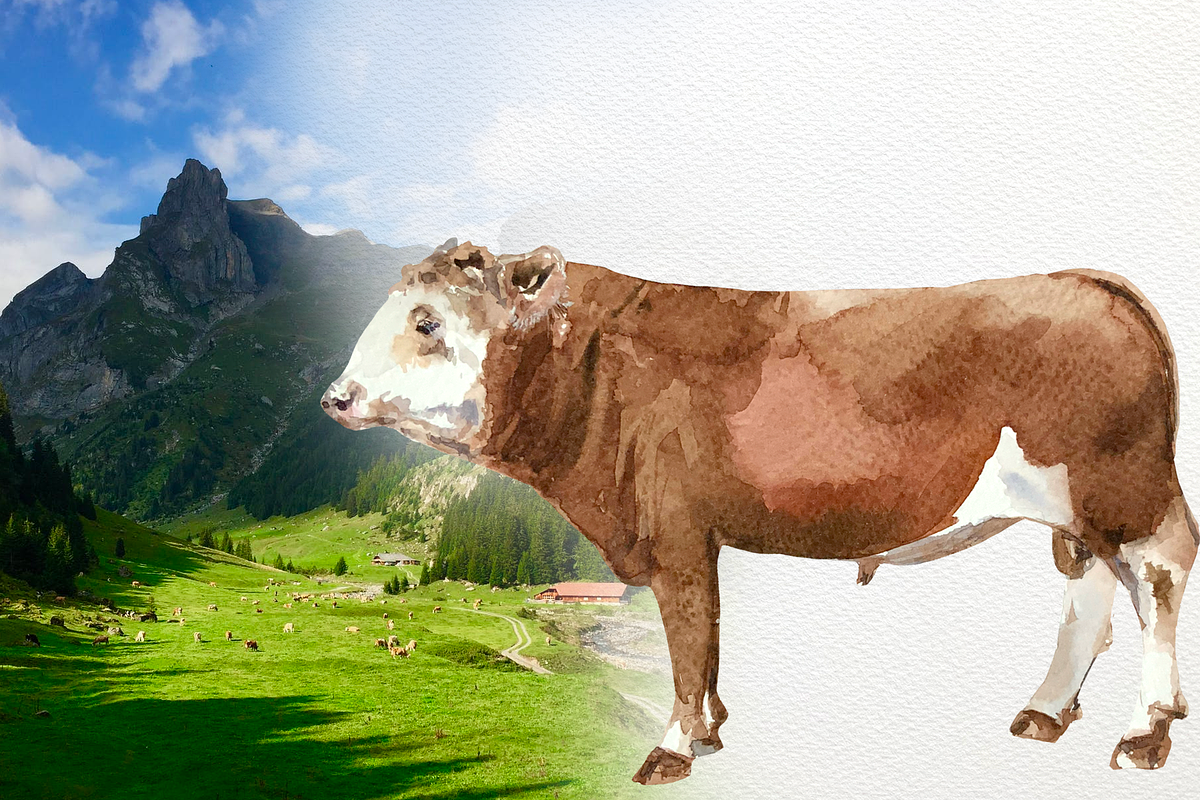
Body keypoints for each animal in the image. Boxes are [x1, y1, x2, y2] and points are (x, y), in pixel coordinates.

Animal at [323, 240, 1199, 781]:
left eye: (427, 321)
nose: (336, 397)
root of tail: (1095, 282)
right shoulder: (689, 534)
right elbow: (704, 641)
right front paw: (710, 731)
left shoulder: (673, 529)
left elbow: (685, 639)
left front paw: (673, 746)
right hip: (1083, 510)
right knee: (1091, 589)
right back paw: (1047, 712)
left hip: (1126, 489)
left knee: (1159, 574)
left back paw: (1145, 730)